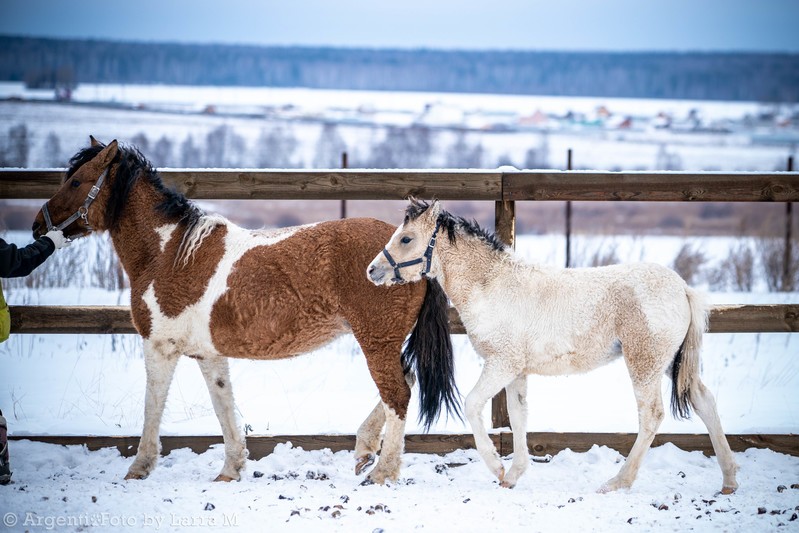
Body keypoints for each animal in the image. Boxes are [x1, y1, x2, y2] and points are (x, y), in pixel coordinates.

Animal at [34, 137, 460, 482]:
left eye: (76, 181)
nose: (39, 225)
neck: (168, 254)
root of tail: (417, 256)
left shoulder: (159, 346)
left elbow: (152, 406)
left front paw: (140, 467)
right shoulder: (208, 354)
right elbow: (224, 407)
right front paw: (231, 469)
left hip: (376, 340)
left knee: (398, 395)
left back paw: (382, 471)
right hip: (385, 341)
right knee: (406, 382)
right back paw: (364, 451)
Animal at [366, 197, 740, 492]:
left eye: (406, 238)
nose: (372, 271)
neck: (492, 287)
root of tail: (683, 288)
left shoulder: (500, 364)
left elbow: (472, 405)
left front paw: (497, 467)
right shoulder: (516, 371)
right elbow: (518, 416)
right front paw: (513, 475)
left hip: (644, 362)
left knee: (651, 415)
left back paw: (617, 482)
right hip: (669, 363)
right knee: (704, 400)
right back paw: (729, 480)